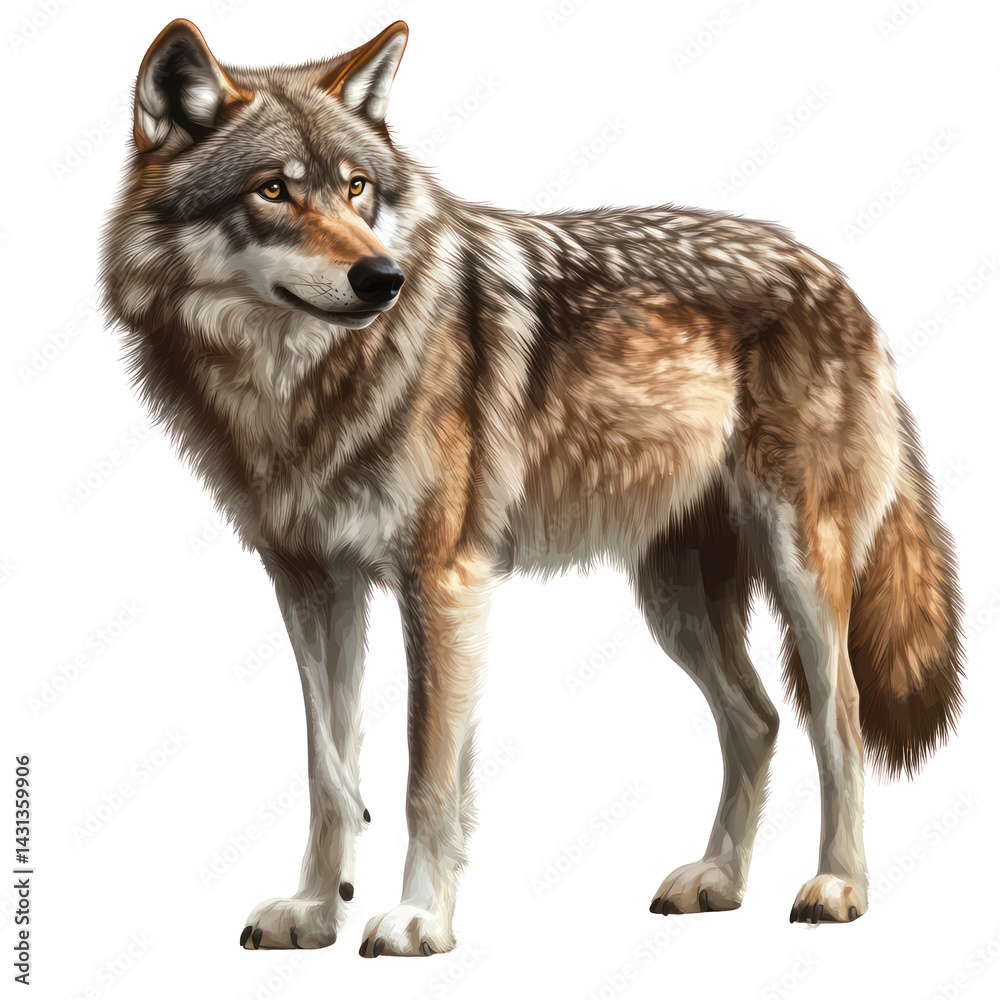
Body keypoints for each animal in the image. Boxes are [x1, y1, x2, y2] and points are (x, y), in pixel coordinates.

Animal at [100, 19, 964, 956]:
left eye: (357, 188)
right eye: (273, 191)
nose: (382, 279)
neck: (298, 386)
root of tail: (838, 279)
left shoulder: (441, 581)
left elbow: (427, 777)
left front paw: (418, 919)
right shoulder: (310, 581)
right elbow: (328, 769)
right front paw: (317, 909)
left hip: (800, 571)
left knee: (837, 720)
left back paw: (839, 886)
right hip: (674, 600)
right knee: (758, 719)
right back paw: (719, 882)